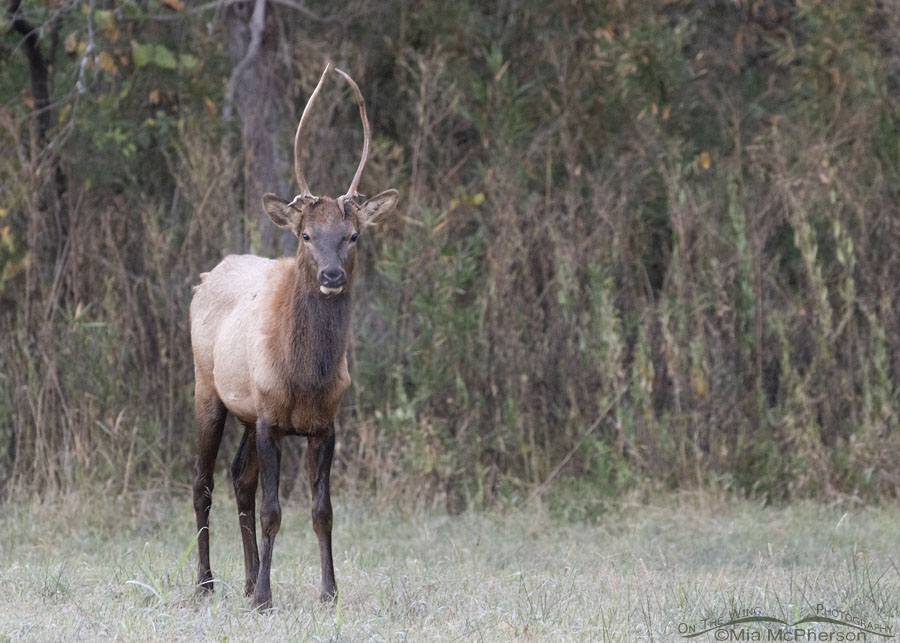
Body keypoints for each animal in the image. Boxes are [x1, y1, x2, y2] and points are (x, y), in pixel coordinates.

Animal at [190, 64, 398, 608]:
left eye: (353, 235)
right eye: (306, 235)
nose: (331, 275)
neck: (305, 376)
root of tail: (206, 276)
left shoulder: (324, 423)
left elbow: (322, 511)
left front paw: (328, 592)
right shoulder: (270, 418)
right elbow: (273, 510)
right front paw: (266, 598)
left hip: (245, 410)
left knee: (238, 479)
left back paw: (244, 580)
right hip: (207, 388)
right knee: (202, 482)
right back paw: (206, 583)